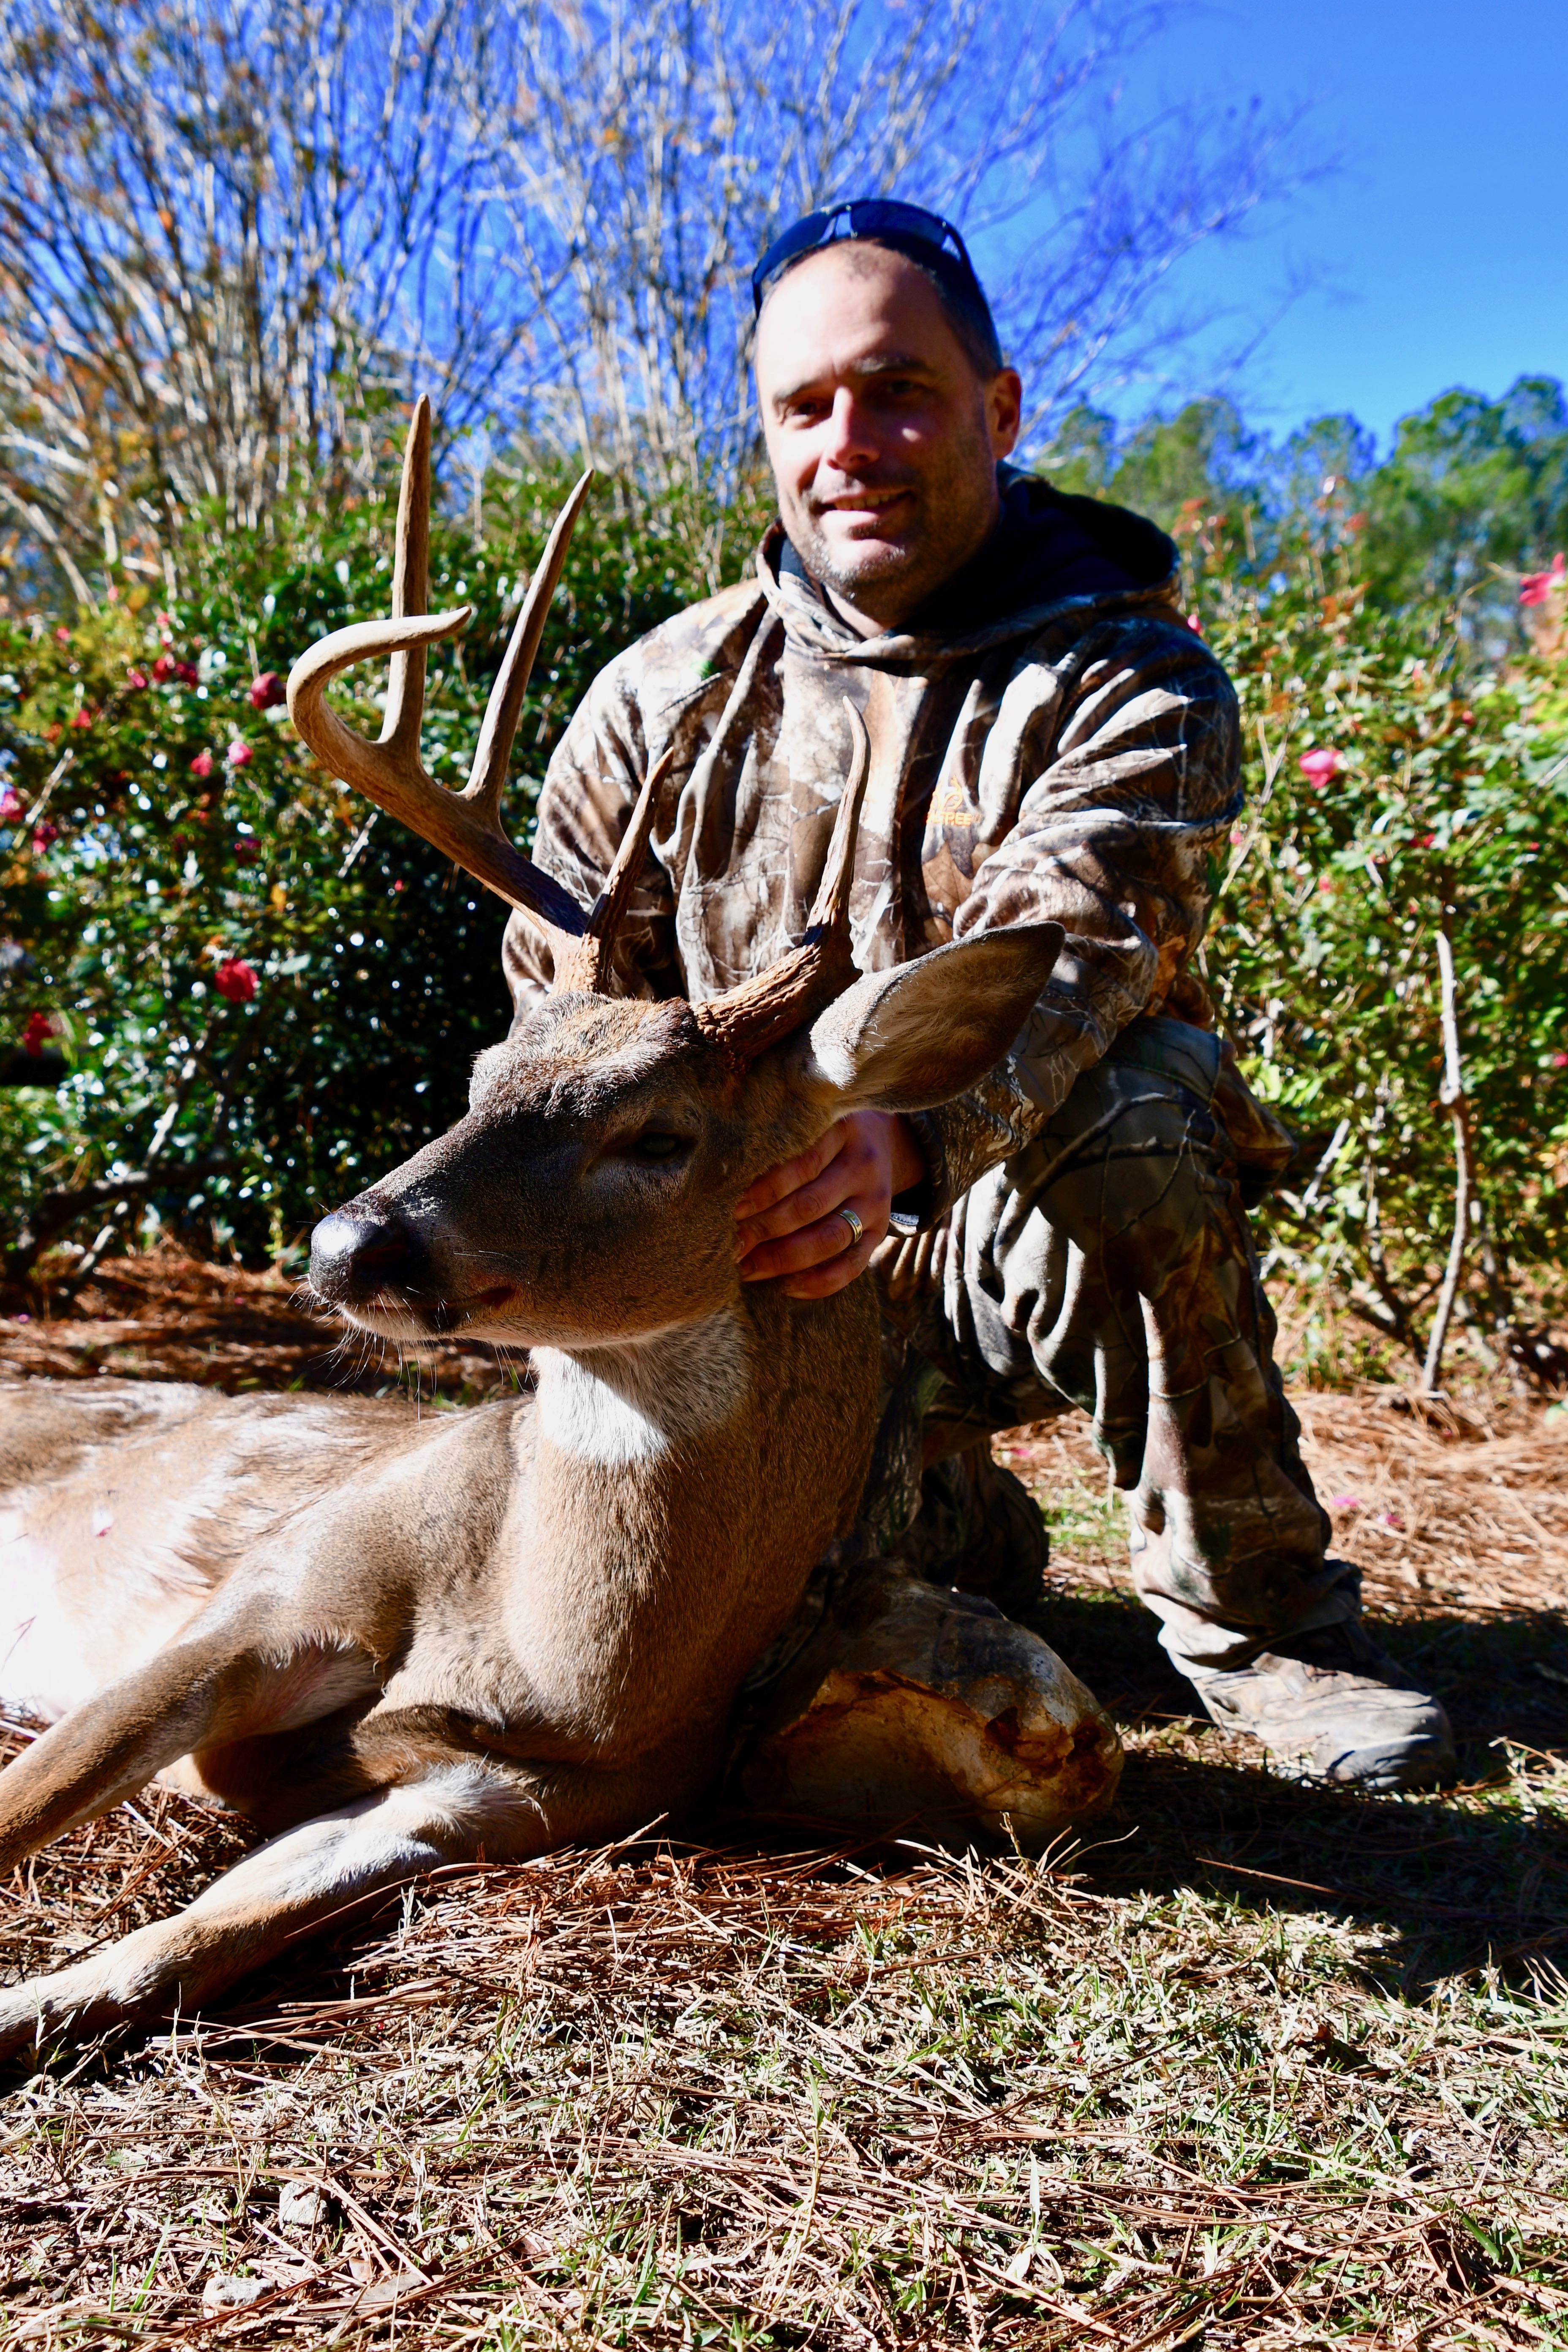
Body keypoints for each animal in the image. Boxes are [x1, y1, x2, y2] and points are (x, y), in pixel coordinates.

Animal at [0, 403, 1121, 2056]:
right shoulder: (271, 1592)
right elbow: (35, 1794)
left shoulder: (512, 1795)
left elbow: (187, 1944)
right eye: (481, 1071)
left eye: (655, 1133)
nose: (347, 1243)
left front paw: (42, 2001)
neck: (542, 1646)